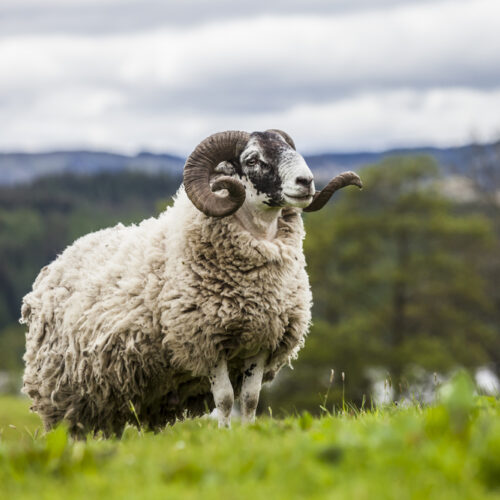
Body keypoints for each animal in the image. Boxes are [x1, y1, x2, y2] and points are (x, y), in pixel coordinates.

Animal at [20, 131, 364, 436]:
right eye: (252, 159)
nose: (306, 182)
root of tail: (62, 256)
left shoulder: (261, 342)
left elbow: (250, 399)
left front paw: (248, 433)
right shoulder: (205, 341)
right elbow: (224, 398)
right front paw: (225, 435)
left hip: (112, 394)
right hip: (63, 393)